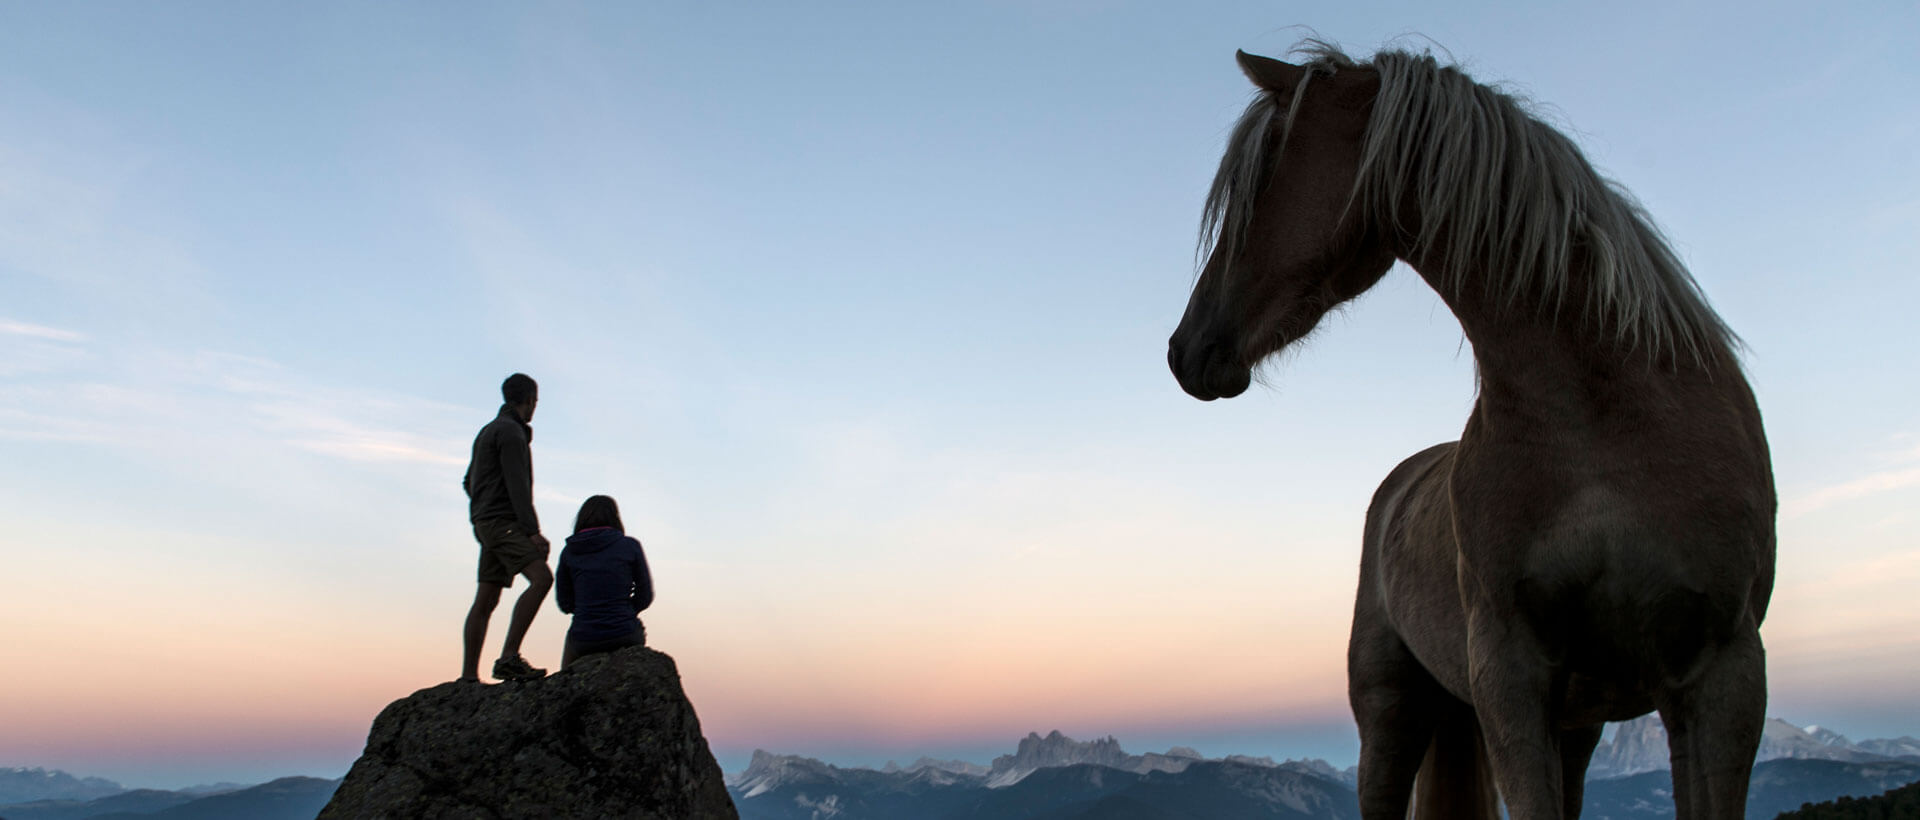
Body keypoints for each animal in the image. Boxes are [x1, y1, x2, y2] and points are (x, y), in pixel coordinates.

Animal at [1167, 43, 1781, 820]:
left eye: (1267, 168)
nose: (1185, 349)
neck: (1602, 429)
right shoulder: (1510, 680)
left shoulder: (1723, 675)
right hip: (1391, 711)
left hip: (1577, 721)